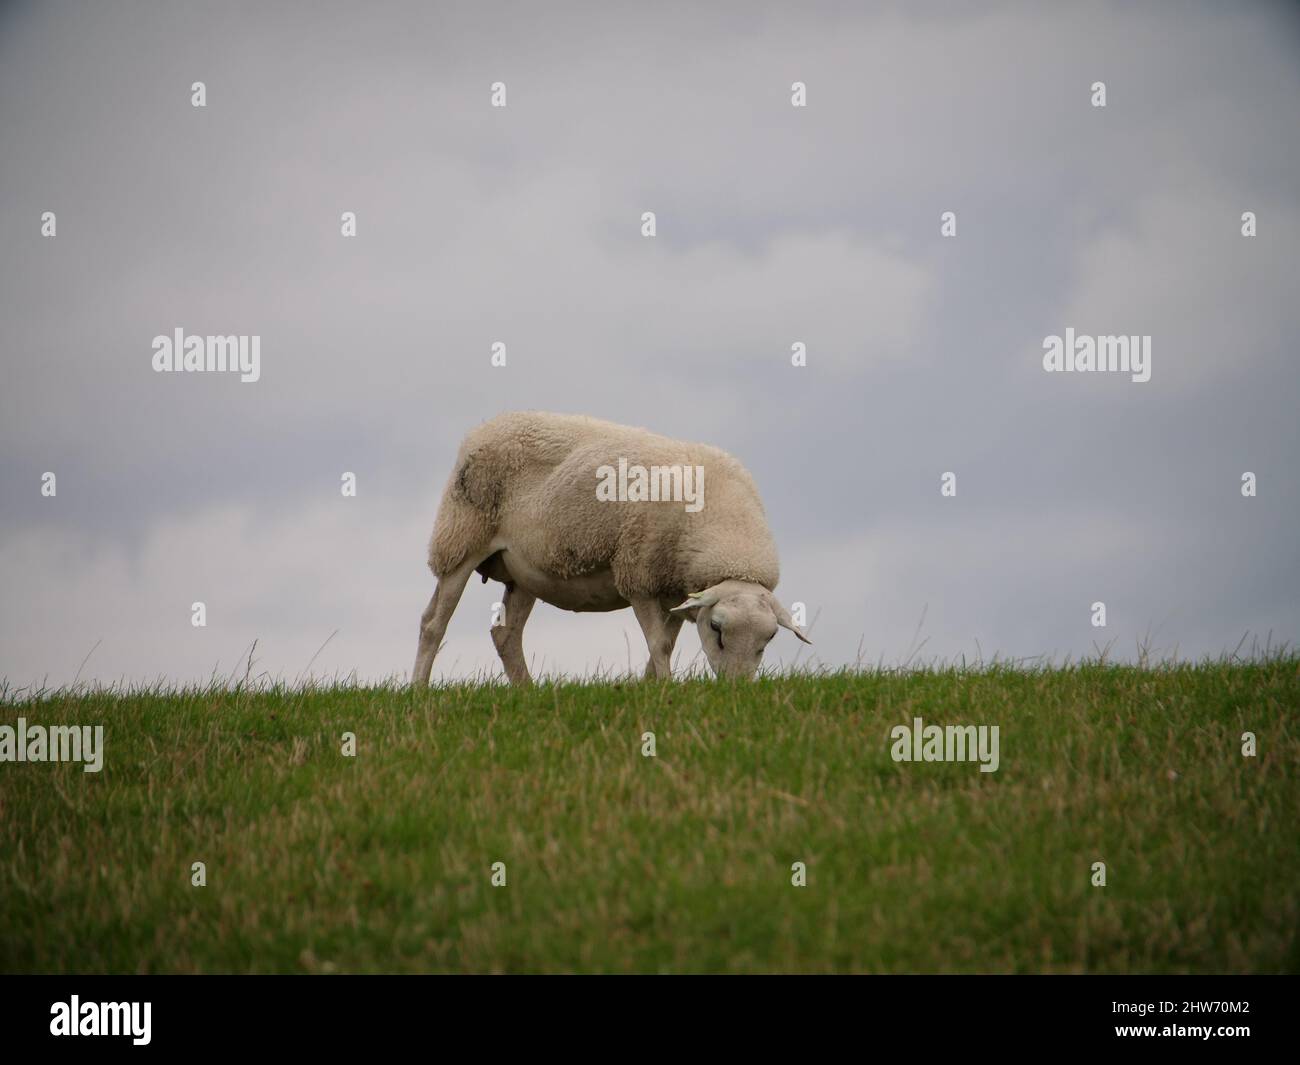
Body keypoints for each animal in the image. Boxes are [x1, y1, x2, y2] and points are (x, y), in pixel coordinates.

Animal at [411, 412, 810, 687]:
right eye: (717, 629)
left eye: (769, 639)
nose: (735, 690)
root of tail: (485, 427)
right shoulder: (639, 575)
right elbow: (660, 644)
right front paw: (666, 689)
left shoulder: (676, 590)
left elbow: (664, 643)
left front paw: (651, 687)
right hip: (460, 540)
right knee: (433, 623)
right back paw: (419, 689)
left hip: (524, 572)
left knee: (505, 634)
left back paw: (526, 691)